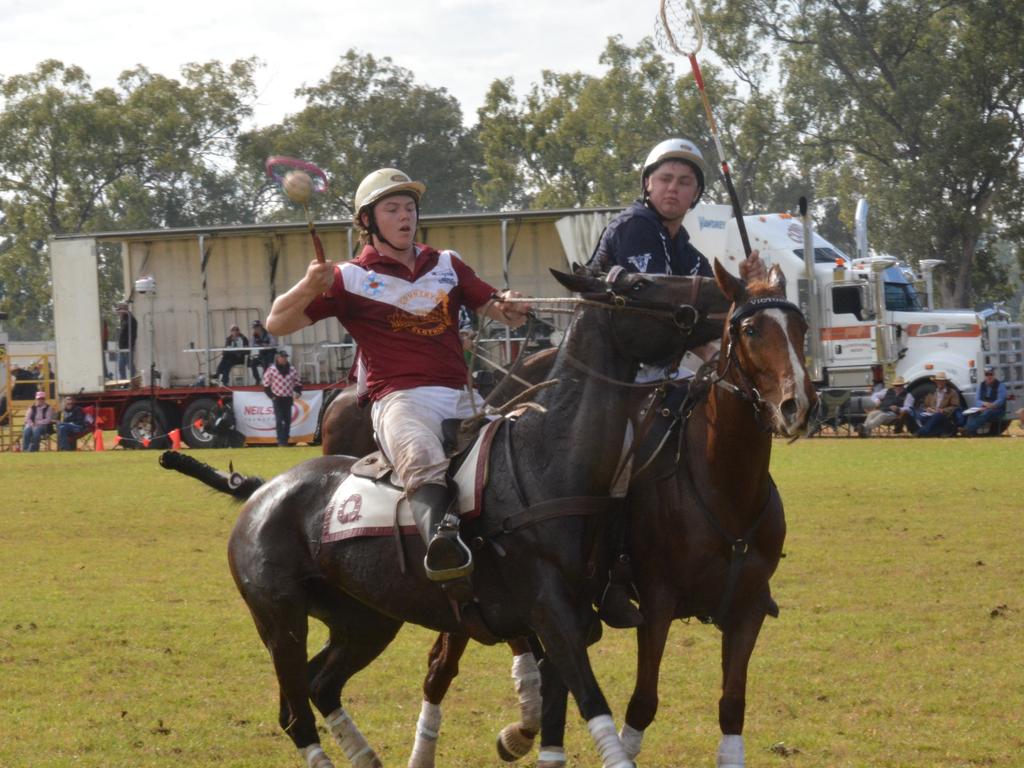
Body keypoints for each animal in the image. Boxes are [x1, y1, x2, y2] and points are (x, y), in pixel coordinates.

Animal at [165, 268, 729, 768]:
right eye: (638, 283)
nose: (724, 293)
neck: (551, 457)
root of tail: (262, 490)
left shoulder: (576, 616)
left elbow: (558, 706)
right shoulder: (551, 613)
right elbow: (591, 702)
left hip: (366, 619)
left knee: (318, 684)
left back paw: (367, 757)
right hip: (279, 616)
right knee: (294, 710)